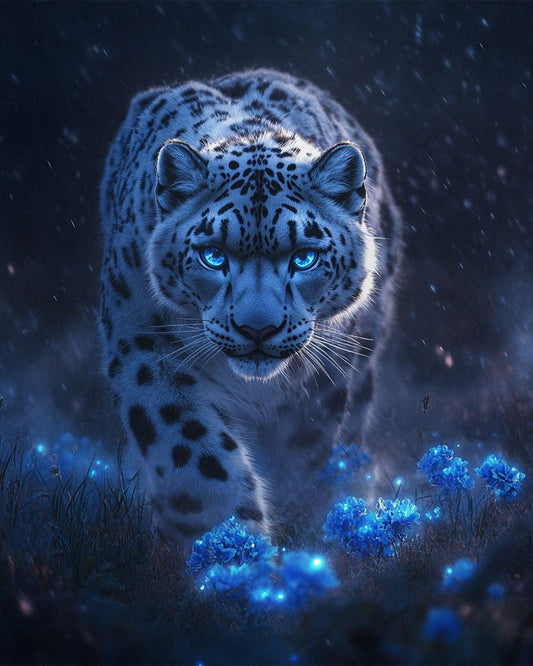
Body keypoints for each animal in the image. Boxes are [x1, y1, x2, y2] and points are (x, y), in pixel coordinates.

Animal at [99, 69, 402, 554]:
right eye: (213, 255)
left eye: (304, 257)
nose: (257, 328)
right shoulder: (144, 351)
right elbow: (190, 454)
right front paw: (224, 543)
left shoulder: (321, 384)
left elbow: (301, 458)